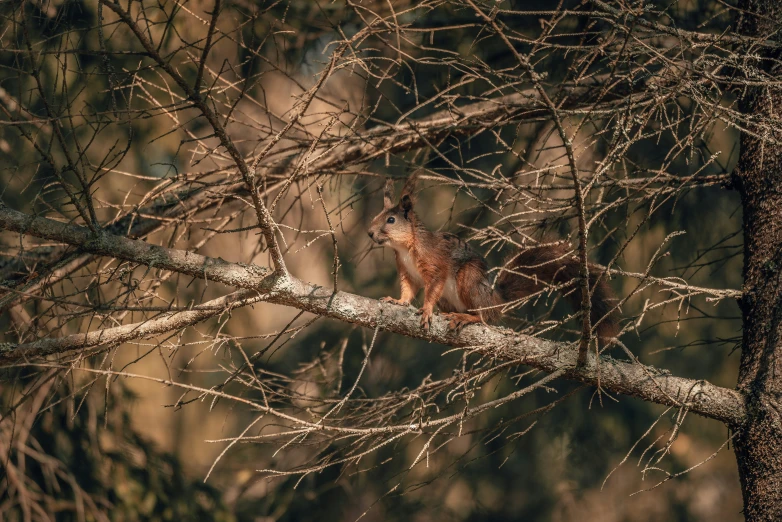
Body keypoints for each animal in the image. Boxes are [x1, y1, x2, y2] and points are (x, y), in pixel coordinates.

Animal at [370, 174, 620, 338]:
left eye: (391, 220)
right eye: (377, 215)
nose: (370, 233)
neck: (405, 248)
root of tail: (496, 299)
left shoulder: (435, 263)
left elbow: (432, 288)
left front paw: (427, 309)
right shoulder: (407, 272)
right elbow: (408, 290)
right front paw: (398, 301)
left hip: (469, 280)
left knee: (486, 317)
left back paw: (467, 318)